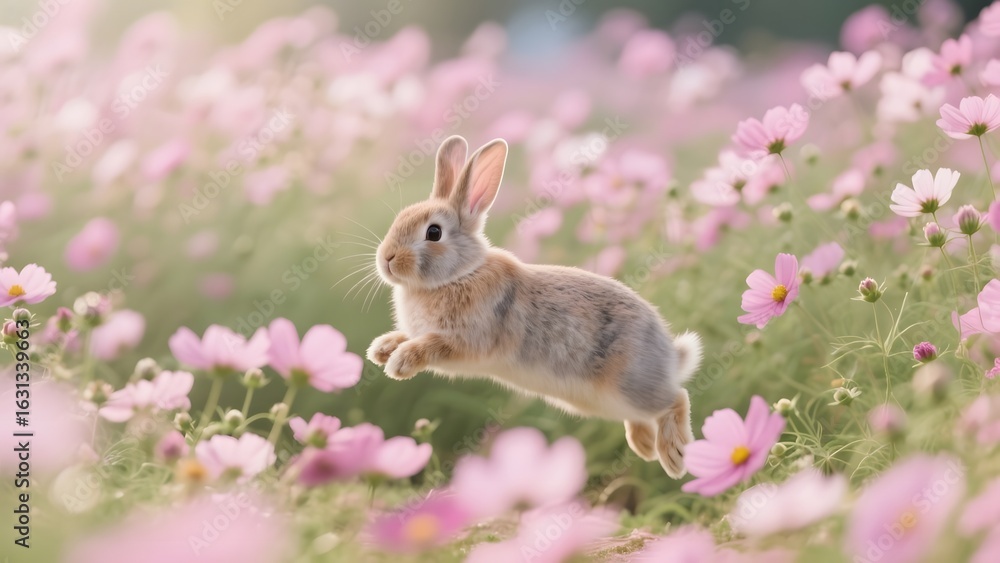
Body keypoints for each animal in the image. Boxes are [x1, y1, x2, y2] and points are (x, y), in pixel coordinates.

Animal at [365, 135, 703, 478]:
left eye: (433, 232)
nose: (386, 258)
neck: (460, 273)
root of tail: (671, 357)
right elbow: (406, 336)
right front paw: (381, 350)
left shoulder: (466, 341)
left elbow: (429, 345)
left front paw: (400, 363)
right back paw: (644, 446)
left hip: (630, 386)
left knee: (676, 397)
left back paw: (674, 456)